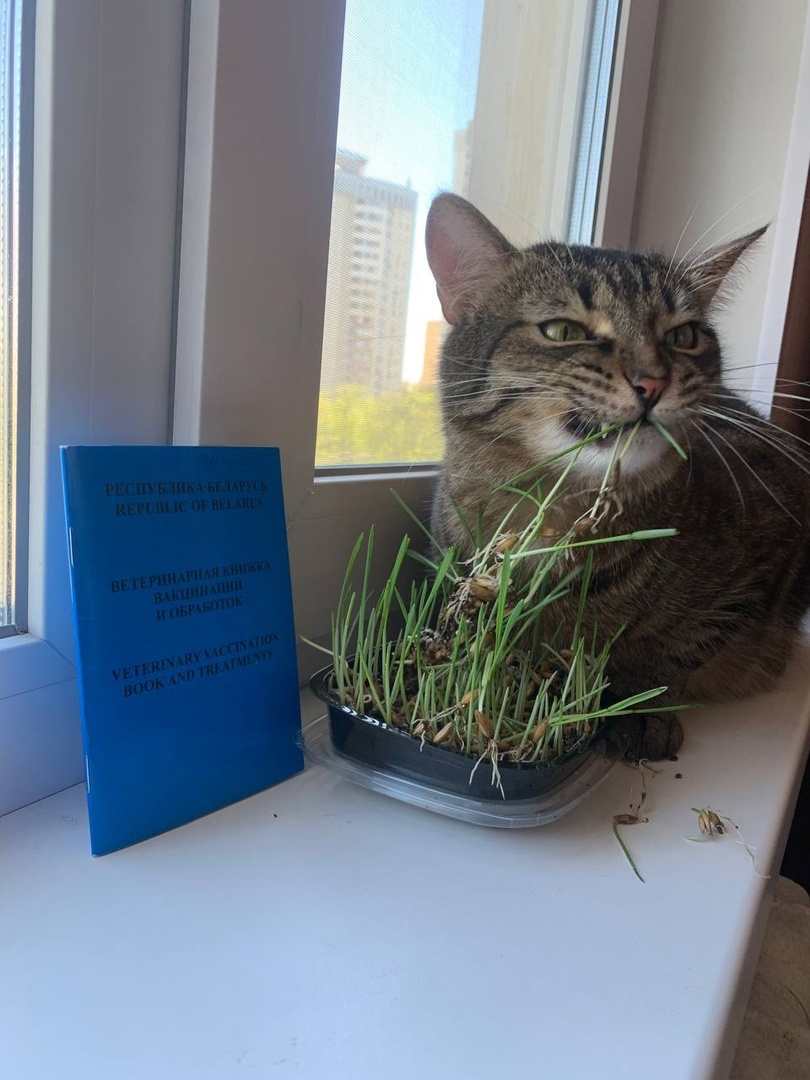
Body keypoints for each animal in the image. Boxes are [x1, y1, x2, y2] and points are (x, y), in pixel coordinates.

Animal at [425, 192, 810, 761]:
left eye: (684, 335)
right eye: (564, 331)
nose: (653, 381)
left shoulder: (774, 546)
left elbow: (671, 650)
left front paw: (637, 702)